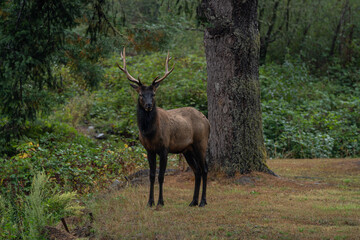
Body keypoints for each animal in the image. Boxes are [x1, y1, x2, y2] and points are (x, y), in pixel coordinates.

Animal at [116, 48, 210, 206]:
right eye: (141, 94)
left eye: (153, 94)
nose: (149, 105)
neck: (150, 133)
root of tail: (207, 121)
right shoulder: (149, 150)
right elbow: (151, 176)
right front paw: (150, 201)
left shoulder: (164, 148)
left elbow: (161, 176)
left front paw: (160, 201)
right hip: (187, 149)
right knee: (197, 171)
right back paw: (193, 201)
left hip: (200, 143)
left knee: (204, 169)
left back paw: (203, 201)